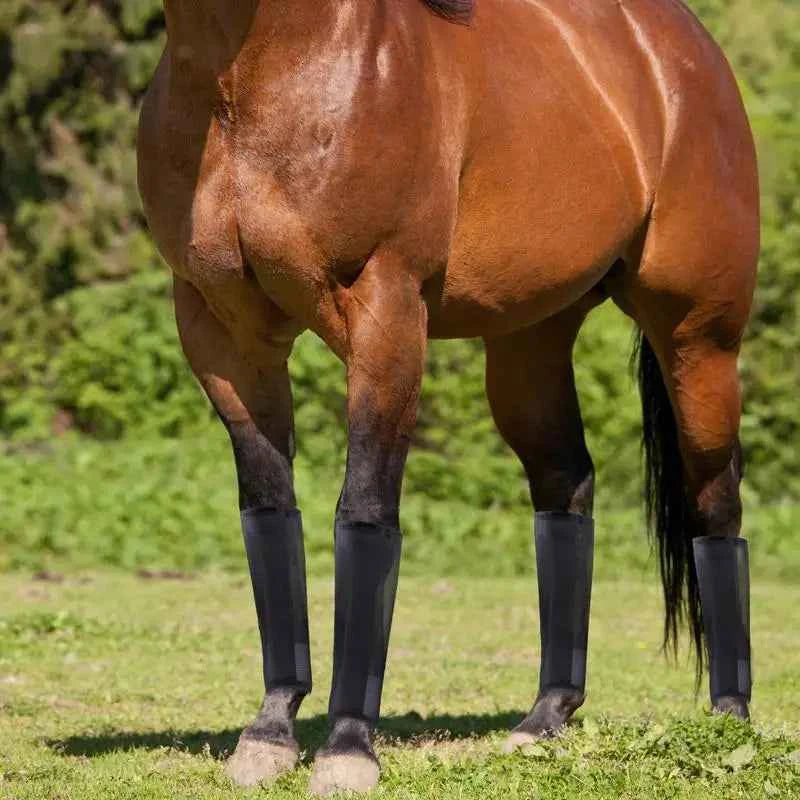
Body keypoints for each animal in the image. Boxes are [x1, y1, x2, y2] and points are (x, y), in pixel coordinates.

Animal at [137, 0, 758, 794]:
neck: (248, 80)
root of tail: (687, 50)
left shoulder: (386, 313)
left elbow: (365, 513)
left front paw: (347, 748)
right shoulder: (222, 332)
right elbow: (270, 511)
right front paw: (270, 733)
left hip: (698, 339)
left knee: (717, 503)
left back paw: (729, 722)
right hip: (530, 343)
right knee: (567, 487)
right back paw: (544, 719)